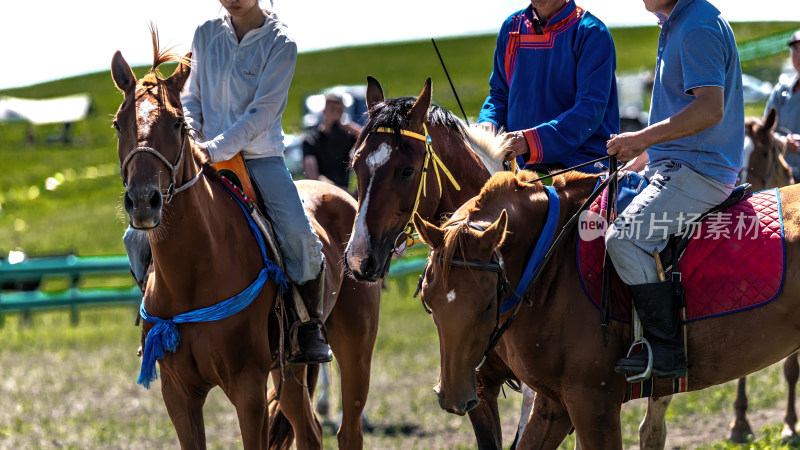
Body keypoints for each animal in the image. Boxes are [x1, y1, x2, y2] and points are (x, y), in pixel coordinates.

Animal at [416, 171, 800, 448]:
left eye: (486, 306)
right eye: (429, 304)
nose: (453, 396)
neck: (550, 262)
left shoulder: (593, 405)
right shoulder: (555, 404)